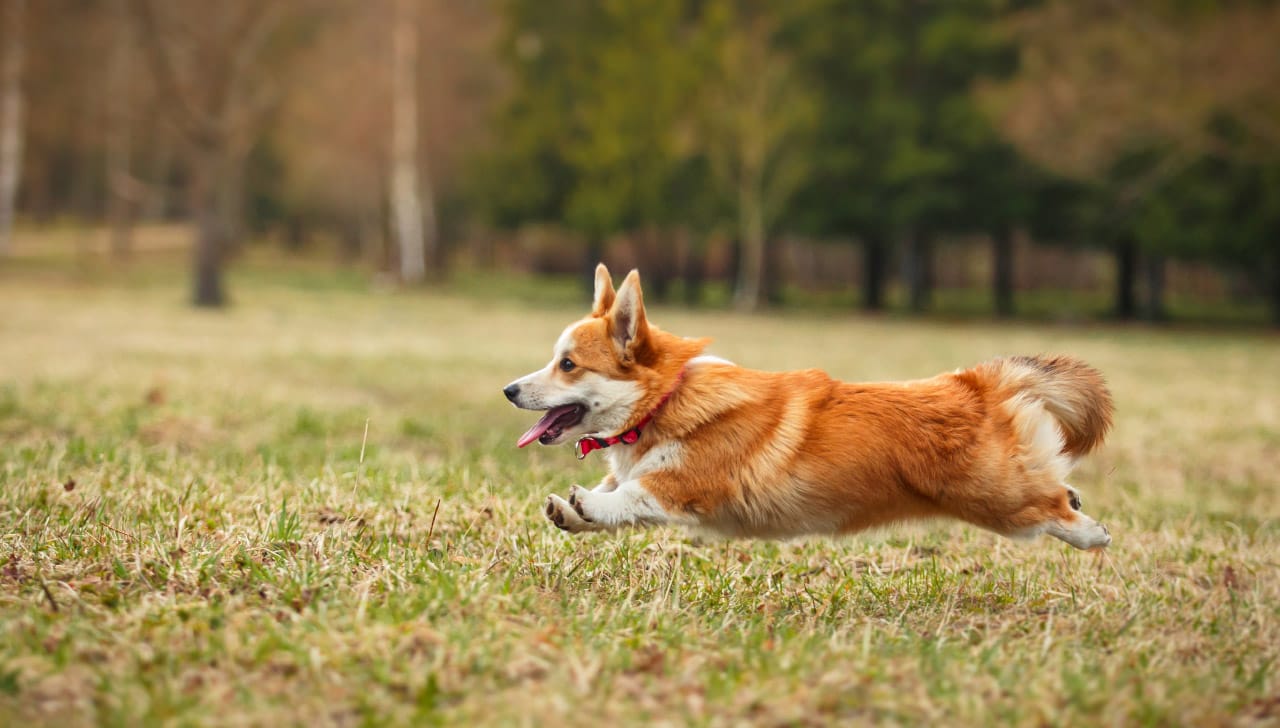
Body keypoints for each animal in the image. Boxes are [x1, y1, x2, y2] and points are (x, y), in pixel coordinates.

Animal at [499, 263, 1111, 547]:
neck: (664, 400)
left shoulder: (687, 485)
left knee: (1050, 504)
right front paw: (571, 511)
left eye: (568, 364)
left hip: (995, 498)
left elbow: (629, 496)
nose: (508, 391)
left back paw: (1093, 533)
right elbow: (609, 500)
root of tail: (975, 382)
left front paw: (587, 504)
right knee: (1057, 487)